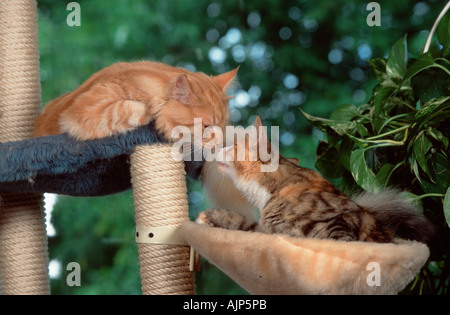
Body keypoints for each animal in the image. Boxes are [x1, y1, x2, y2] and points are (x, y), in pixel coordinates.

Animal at [198, 117, 436, 246]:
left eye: (233, 146)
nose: (215, 149)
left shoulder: (334, 227)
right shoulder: (267, 233)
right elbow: (243, 224)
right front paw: (209, 217)